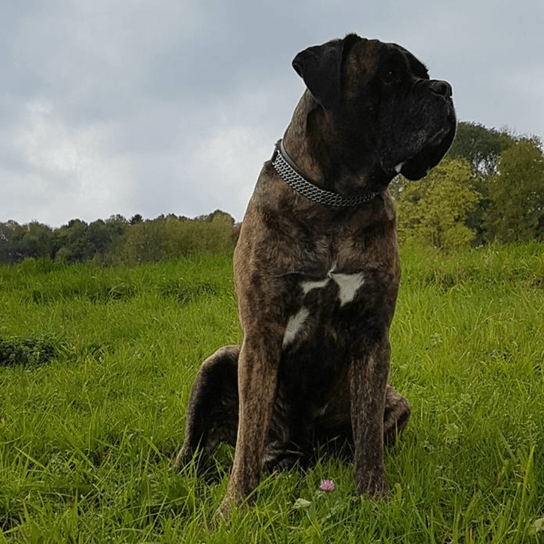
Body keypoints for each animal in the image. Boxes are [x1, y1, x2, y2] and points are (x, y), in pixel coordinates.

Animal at [176, 34, 456, 516]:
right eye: (388, 75)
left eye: (424, 73)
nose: (444, 88)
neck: (335, 201)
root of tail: (299, 452)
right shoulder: (261, 335)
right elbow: (247, 437)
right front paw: (234, 510)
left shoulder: (372, 335)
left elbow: (368, 437)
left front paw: (374, 500)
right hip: (219, 360)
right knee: (197, 448)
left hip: (396, 400)